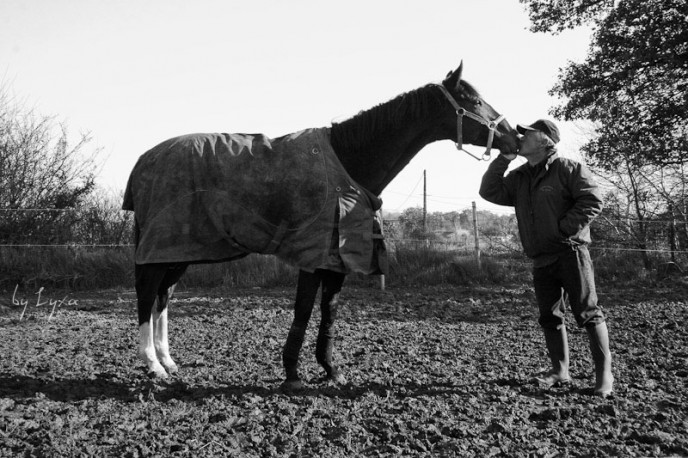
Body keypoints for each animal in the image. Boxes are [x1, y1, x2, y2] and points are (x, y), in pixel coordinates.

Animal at [123, 60, 520, 390]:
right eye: (474, 99)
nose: (514, 136)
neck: (348, 161)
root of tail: (145, 160)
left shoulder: (335, 260)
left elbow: (329, 313)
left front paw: (331, 369)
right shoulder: (312, 257)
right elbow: (302, 311)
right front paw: (292, 374)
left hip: (179, 252)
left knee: (163, 297)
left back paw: (168, 362)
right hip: (161, 250)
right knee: (146, 294)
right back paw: (153, 365)